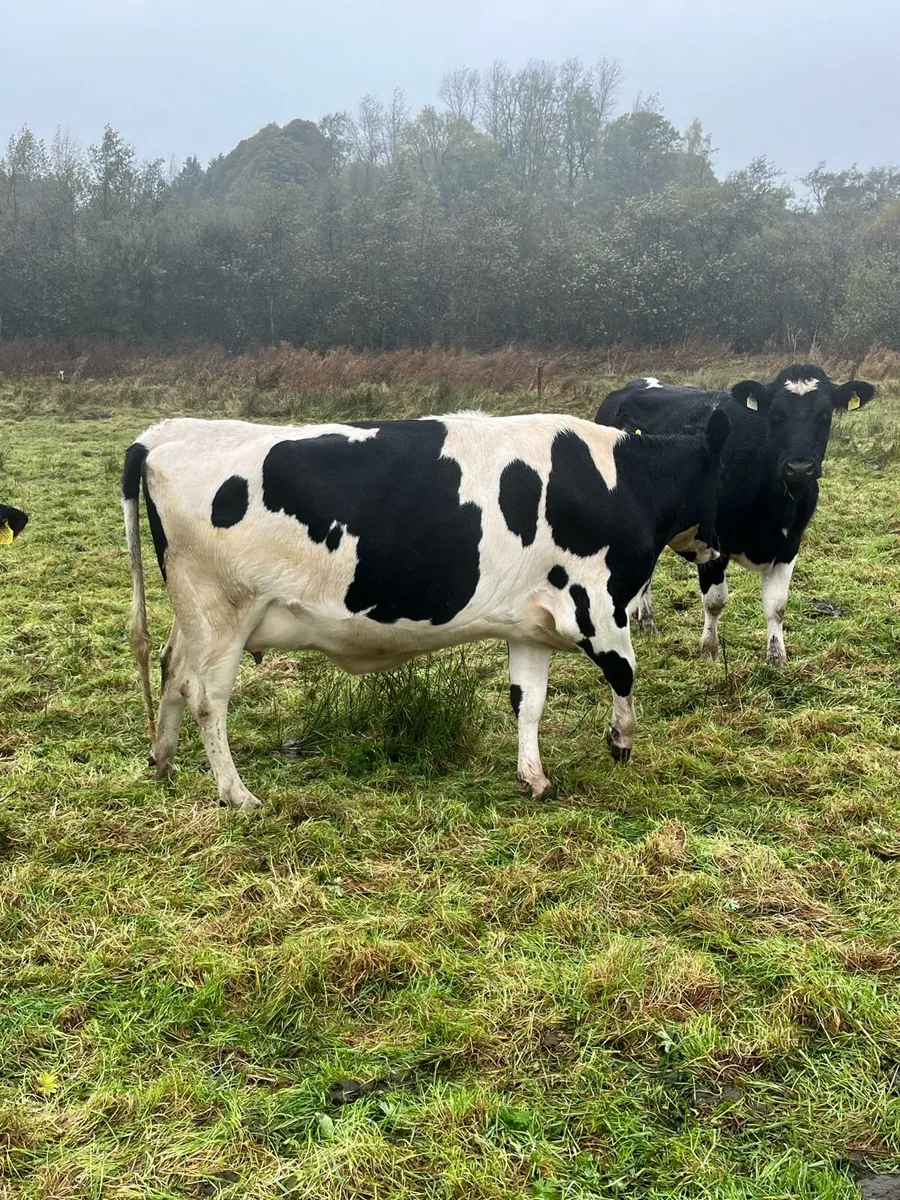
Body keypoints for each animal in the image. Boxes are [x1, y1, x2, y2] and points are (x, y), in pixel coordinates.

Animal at [122, 410, 728, 809]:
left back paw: (163, 761)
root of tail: (161, 435)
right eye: (733, 477)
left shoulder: (530, 623)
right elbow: (625, 673)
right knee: (206, 698)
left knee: (173, 669)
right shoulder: (597, 604)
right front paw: (620, 742)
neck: (620, 480)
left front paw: (533, 777)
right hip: (224, 611)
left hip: (195, 616)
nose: (718, 552)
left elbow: (527, 702)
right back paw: (235, 793)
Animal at [595, 364, 876, 664]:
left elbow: (777, 606)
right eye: (775, 415)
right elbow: (715, 601)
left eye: (825, 415)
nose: (800, 467)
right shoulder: (712, 542)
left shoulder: (790, 545)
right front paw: (709, 651)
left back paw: (645, 620)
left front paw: (777, 658)